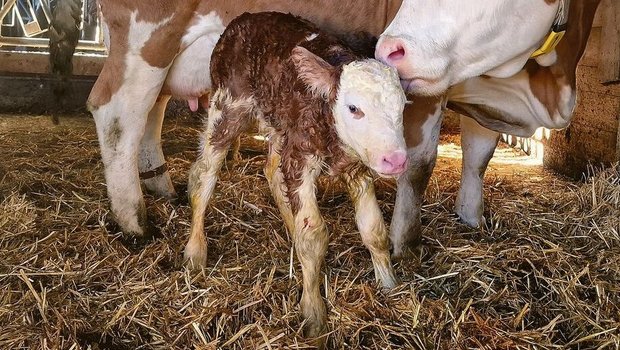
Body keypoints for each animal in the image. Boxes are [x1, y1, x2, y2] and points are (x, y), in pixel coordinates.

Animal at [80, 0, 600, 258]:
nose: (390, 46)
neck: (540, 82)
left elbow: (480, 153)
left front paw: (471, 217)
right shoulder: (432, 85)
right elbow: (420, 164)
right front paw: (404, 244)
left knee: (153, 110)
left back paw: (159, 187)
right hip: (148, 40)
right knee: (118, 111)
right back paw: (133, 221)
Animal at [183, 12, 406, 338]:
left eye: (403, 107)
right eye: (354, 108)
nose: (396, 160)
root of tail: (243, 19)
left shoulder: (356, 166)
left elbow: (374, 229)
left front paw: (388, 285)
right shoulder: (301, 157)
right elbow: (313, 236)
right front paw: (314, 314)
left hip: (281, 125)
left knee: (272, 172)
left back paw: (290, 226)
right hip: (228, 104)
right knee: (204, 174)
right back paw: (195, 252)